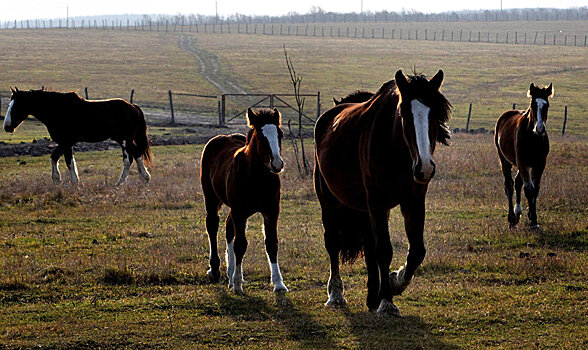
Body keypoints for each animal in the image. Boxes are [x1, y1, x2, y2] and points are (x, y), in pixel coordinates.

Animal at [3, 87, 153, 186]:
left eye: (16, 106)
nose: (7, 127)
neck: (57, 110)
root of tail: (132, 107)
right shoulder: (64, 143)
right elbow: (56, 158)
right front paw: (58, 179)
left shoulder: (66, 141)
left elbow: (68, 161)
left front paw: (72, 182)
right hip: (124, 140)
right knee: (137, 154)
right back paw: (144, 178)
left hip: (124, 140)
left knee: (128, 159)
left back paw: (121, 182)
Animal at [200, 106, 288, 292]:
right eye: (261, 136)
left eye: (280, 134)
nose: (277, 164)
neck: (257, 179)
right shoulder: (240, 211)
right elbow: (240, 244)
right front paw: (238, 283)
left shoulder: (271, 210)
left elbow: (271, 243)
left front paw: (278, 283)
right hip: (211, 197)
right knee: (212, 224)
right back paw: (215, 270)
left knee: (228, 228)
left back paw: (230, 273)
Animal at [316, 69, 450, 316]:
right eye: (404, 114)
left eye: (435, 115)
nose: (425, 167)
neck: (396, 151)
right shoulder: (377, 203)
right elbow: (385, 250)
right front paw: (387, 302)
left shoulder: (413, 202)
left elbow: (416, 251)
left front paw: (394, 282)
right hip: (328, 201)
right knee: (333, 243)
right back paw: (336, 294)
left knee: (370, 248)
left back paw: (372, 297)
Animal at [494, 83, 552, 228]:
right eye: (533, 104)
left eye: (547, 105)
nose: (540, 128)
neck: (533, 138)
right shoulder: (522, 162)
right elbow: (529, 189)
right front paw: (533, 221)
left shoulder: (540, 164)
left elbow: (535, 189)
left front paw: (533, 218)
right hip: (505, 161)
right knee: (509, 186)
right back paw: (511, 218)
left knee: (517, 182)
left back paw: (517, 214)